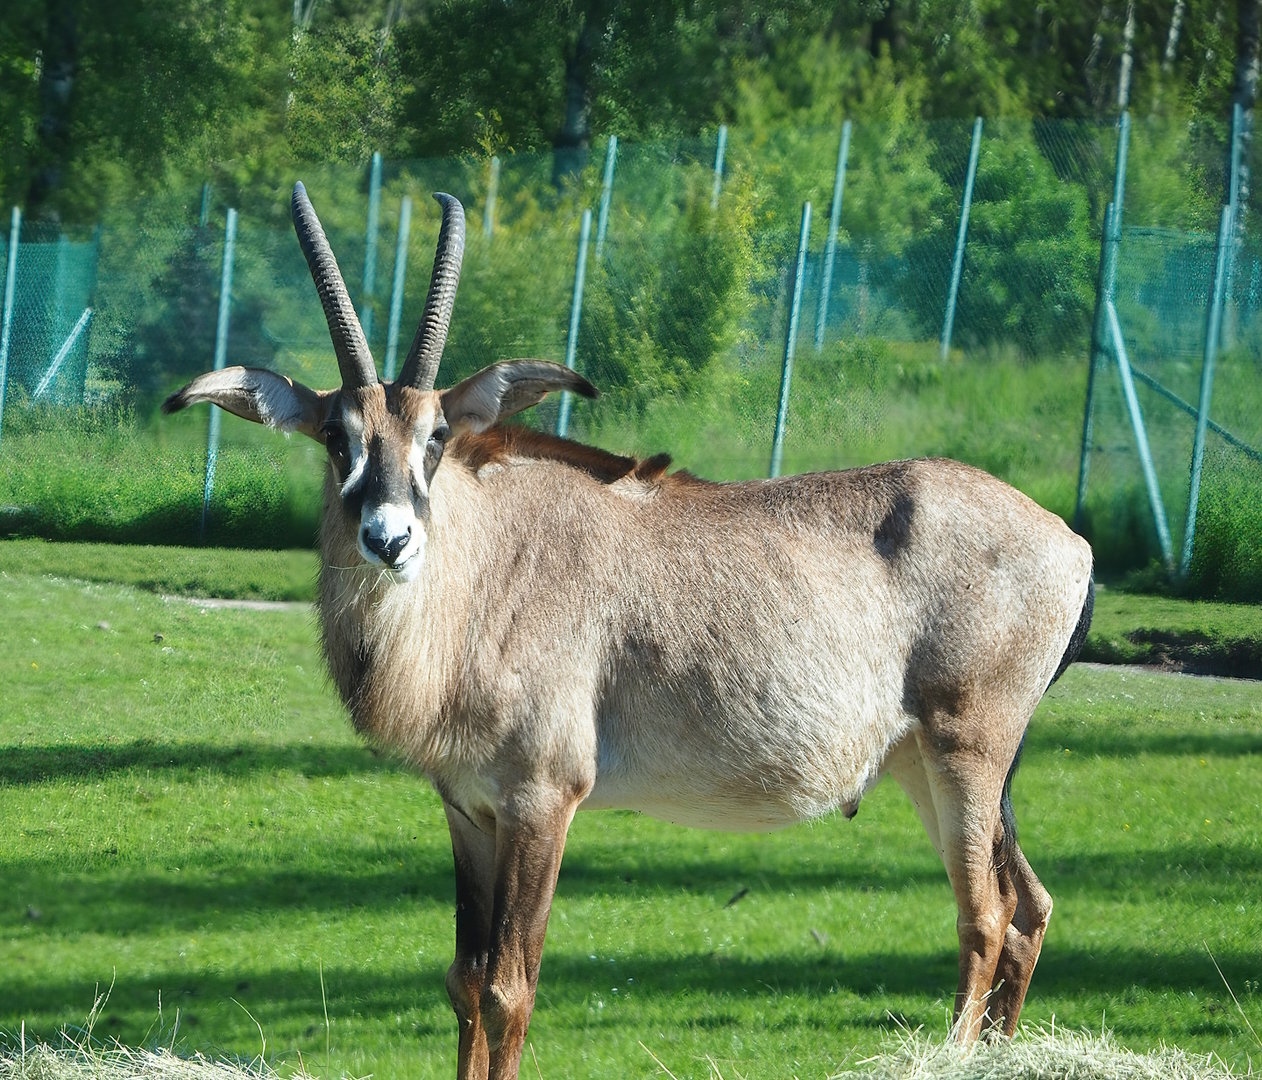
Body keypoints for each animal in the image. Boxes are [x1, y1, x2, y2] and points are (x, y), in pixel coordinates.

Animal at [165, 183, 1094, 1080]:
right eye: (337, 436)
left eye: (436, 436)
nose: (389, 540)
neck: (485, 572)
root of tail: (1072, 544)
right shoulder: (469, 810)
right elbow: (464, 981)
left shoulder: (543, 801)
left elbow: (509, 987)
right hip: (925, 767)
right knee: (1028, 907)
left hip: (966, 754)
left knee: (985, 915)